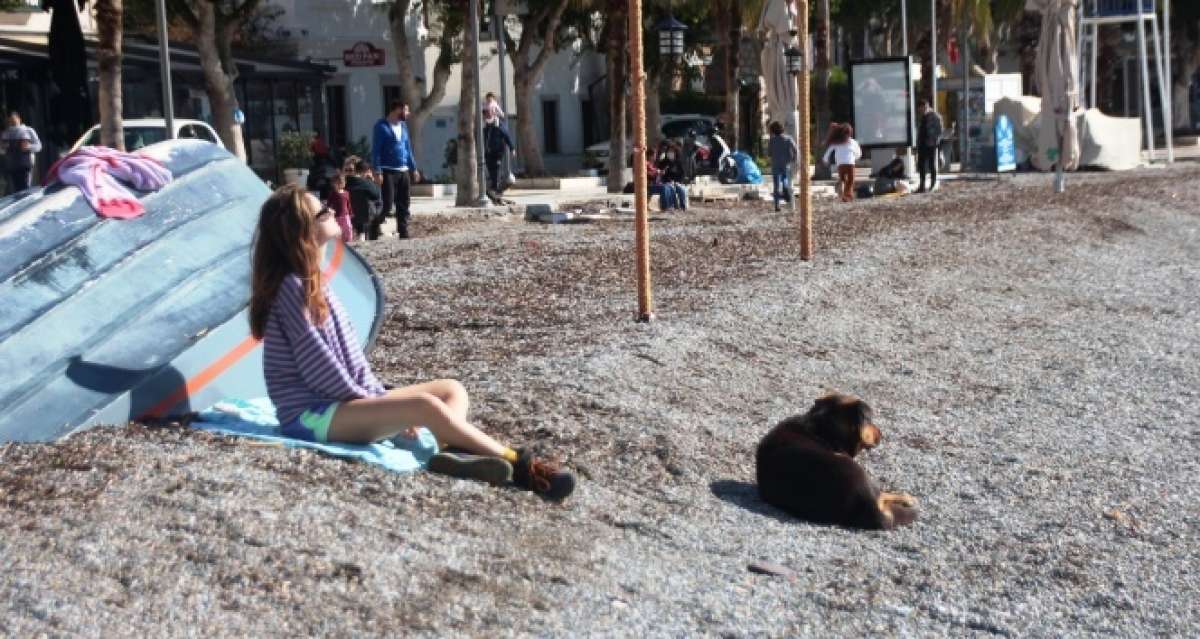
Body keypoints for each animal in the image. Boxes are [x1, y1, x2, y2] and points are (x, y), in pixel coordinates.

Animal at [758, 393, 916, 528]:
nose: (881, 433)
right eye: (869, 420)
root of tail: (864, 504)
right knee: (883, 495)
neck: (823, 428)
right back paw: (908, 498)